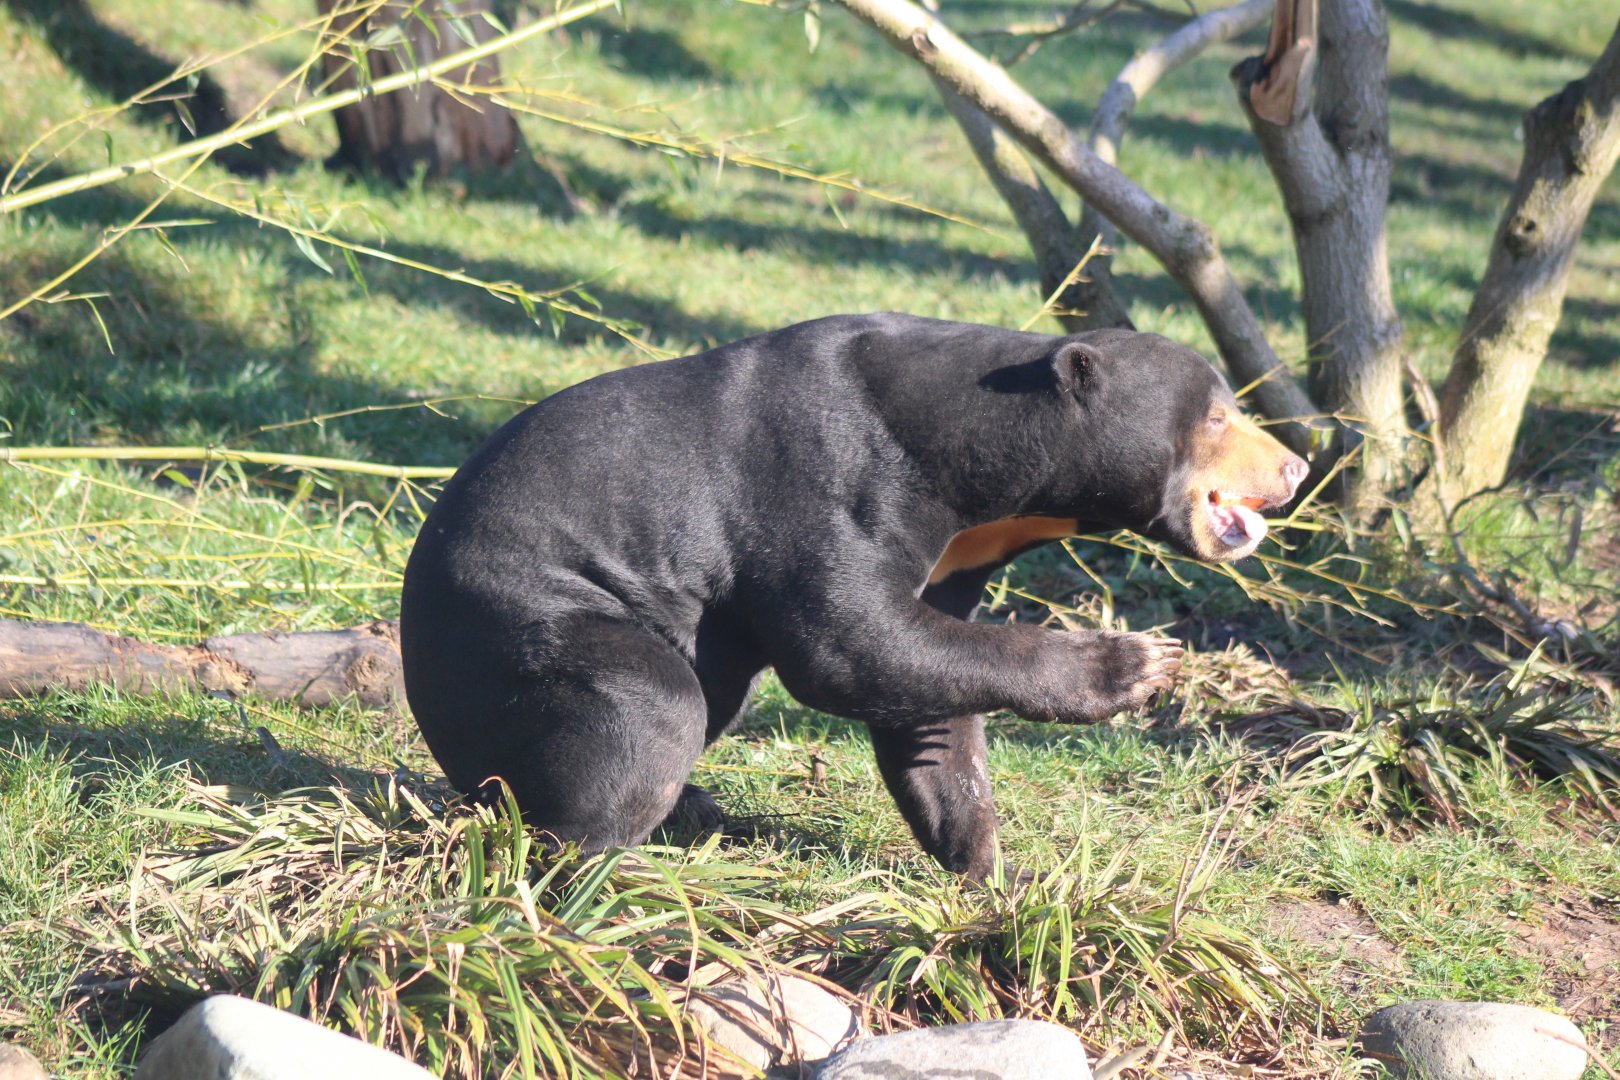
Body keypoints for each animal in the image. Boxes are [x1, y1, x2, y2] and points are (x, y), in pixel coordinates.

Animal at [400, 313, 1307, 879]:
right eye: (1219, 416)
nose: (1296, 468)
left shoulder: (954, 556)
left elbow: (927, 699)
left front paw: (993, 870)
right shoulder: (833, 484)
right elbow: (847, 640)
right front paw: (1137, 663)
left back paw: (692, 811)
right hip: (527, 625)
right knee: (648, 706)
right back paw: (606, 855)